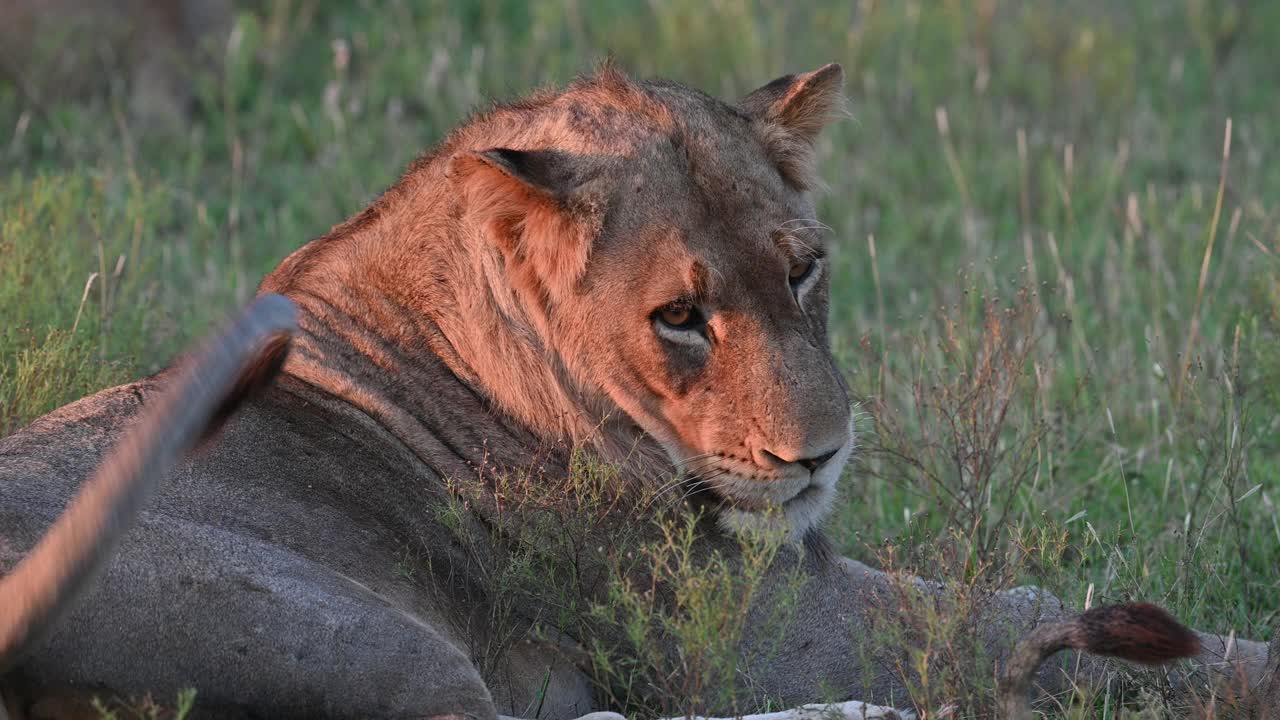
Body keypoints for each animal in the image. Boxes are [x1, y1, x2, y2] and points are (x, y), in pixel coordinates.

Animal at [0, 64, 1269, 712]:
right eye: (678, 318)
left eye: (800, 270)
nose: (819, 455)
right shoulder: (757, 633)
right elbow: (985, 620)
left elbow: (1008, 601)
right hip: (367, 638)